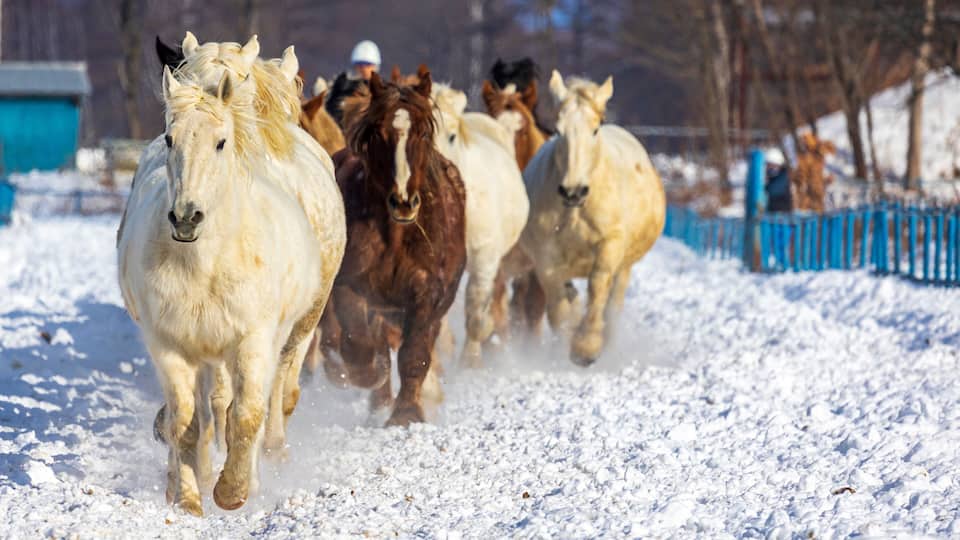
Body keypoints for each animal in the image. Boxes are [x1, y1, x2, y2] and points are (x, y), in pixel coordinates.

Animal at [124, 34, 346, 514]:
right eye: (169, 139)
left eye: (221, 142)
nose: (186, 217)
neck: (205, 262)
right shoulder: (169, 343)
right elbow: (187, 419)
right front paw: (187, 497)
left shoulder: (253, 339)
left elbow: (245, 414)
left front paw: (233, 491)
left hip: (292, 328)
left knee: (264, 397)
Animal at [319, 67, 467, 426]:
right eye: (378, 134)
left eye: (424, 133)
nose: (403, 202)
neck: (396, 237)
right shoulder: (351, 287)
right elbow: (359, 345)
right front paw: (371, 377)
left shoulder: (426, 293)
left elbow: (415, 355)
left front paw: (406, 414)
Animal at [520, 70, 665, 366]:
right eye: (558, 131)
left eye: (595, 129)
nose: (573, 191)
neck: (576, 210)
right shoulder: (546, 256)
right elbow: (558, 307)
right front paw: (569, 340)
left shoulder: (610, 245)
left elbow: (598, 287)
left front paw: (585, 348)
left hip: (625, 265)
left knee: (613, 303)